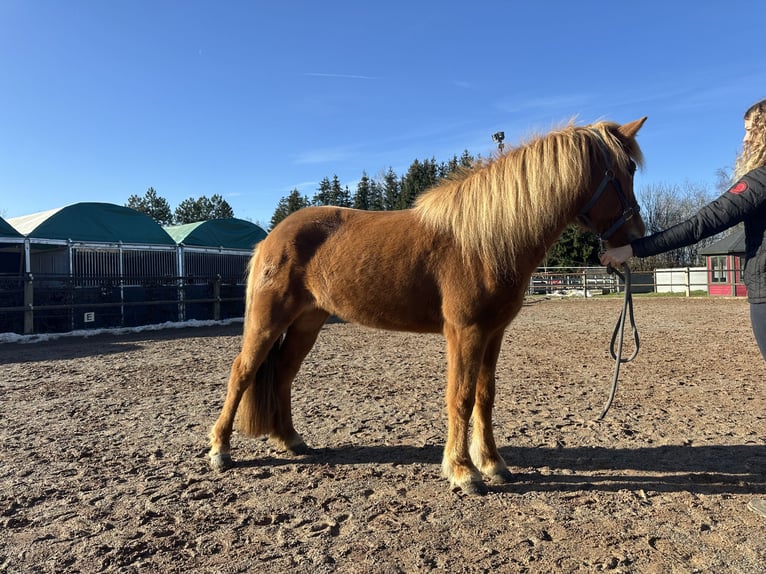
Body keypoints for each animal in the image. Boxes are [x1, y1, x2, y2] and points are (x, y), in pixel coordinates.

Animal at [210, 116, 648, 496]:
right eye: (626, 169)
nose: (635, 237)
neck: (484, 241)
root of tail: (270, 239)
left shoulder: (493, 333)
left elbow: (485, 396)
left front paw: (493, 464)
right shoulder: (465, 332)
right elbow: (461, 396)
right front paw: (463, 472)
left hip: (307, 322)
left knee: (283, 375)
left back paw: (291, 440)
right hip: (268, 320)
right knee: (242, 372)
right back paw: (220, 450)